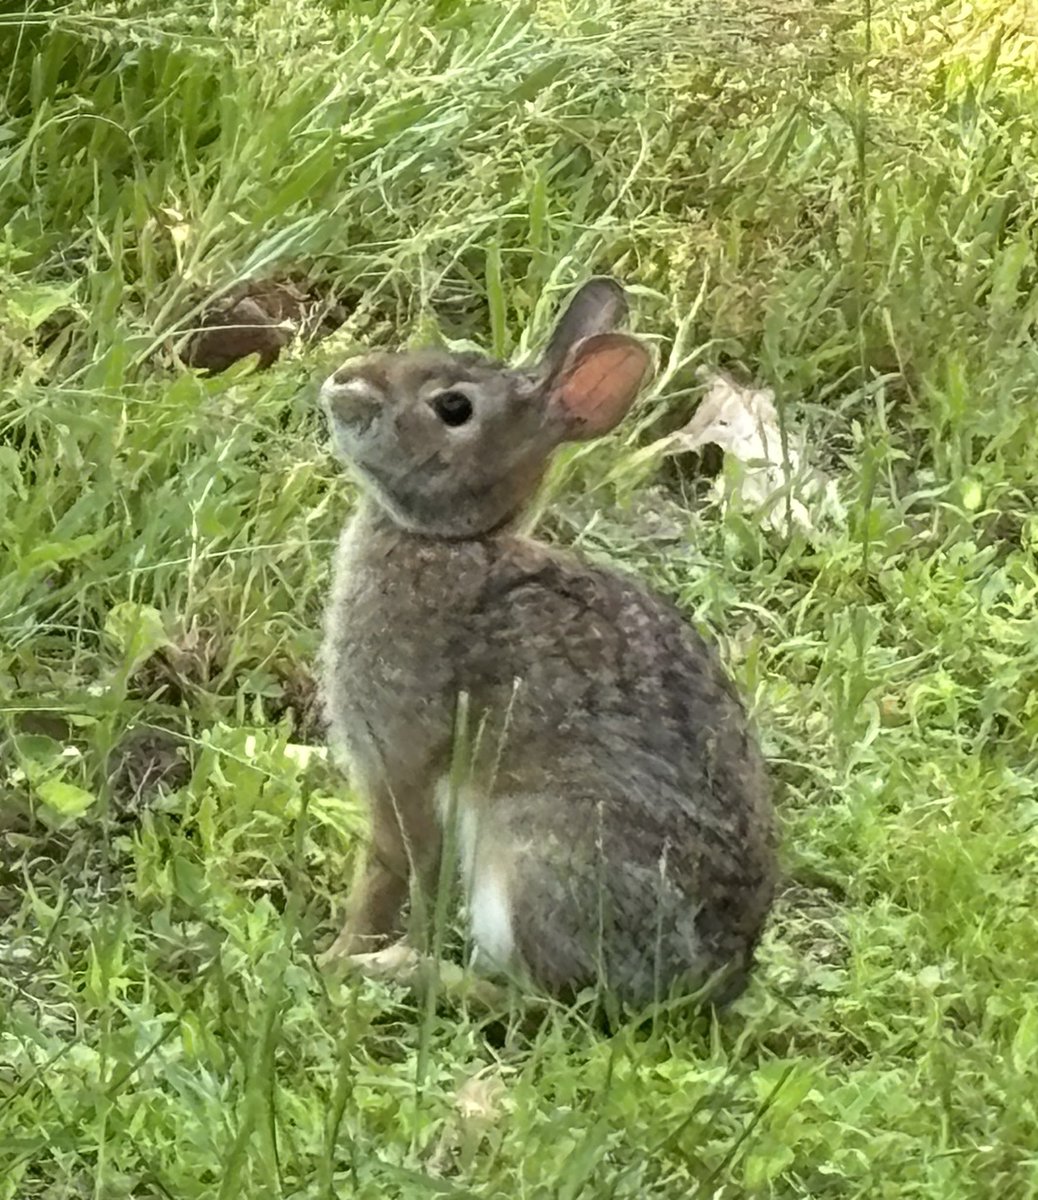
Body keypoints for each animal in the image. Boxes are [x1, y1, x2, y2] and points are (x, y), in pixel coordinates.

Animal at [318, 277, 777, 1008]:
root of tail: (703, 984)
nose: (346, 381)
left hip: (532, 861)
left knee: (541, 1001)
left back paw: (406, 973)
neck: (457, 541)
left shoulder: (396, 759)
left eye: (453, 407)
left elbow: (391, 868)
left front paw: (338, 957)